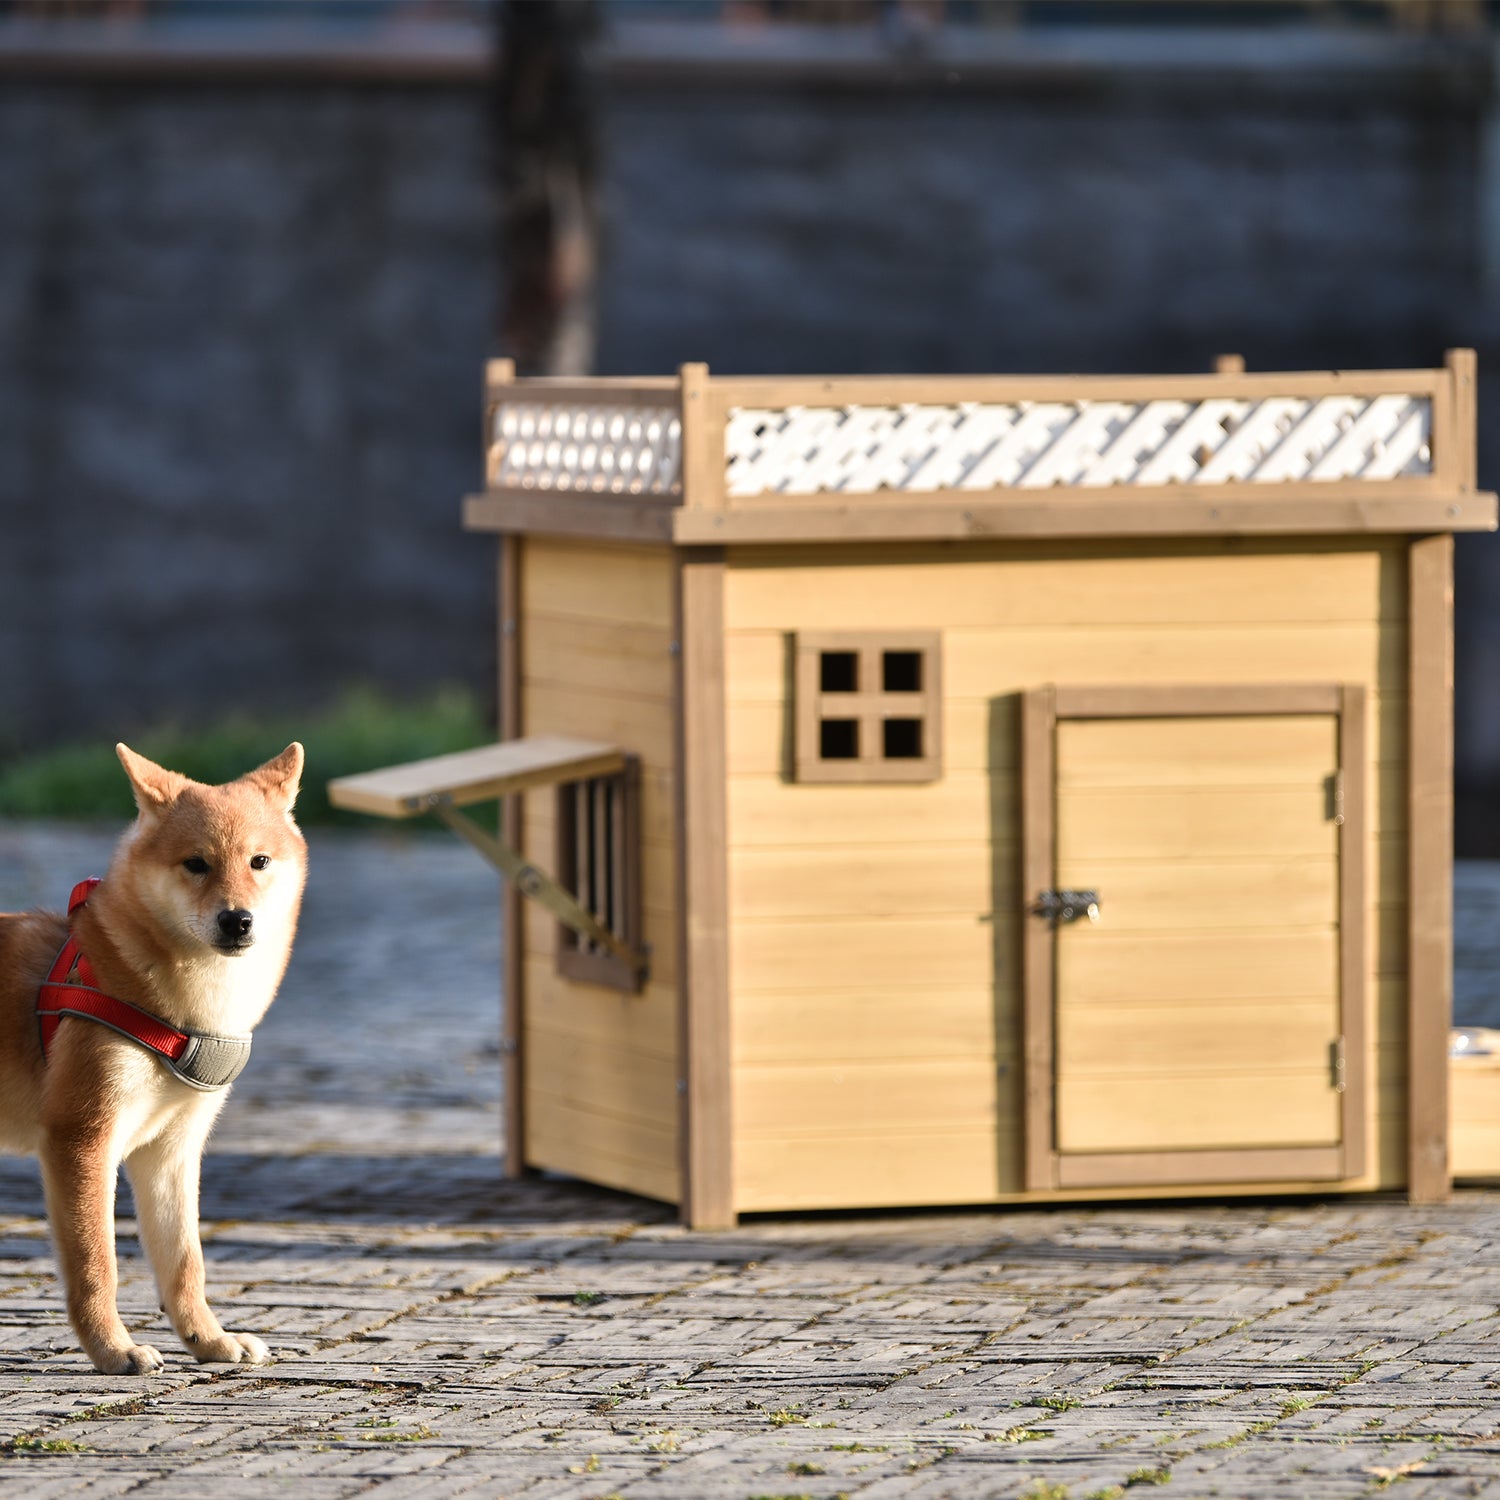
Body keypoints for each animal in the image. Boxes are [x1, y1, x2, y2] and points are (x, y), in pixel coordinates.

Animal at [0, 744, 304, 1374]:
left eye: (259, 861)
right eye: (196, 864)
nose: (238, 919)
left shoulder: (170, 1151)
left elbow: (185, 1264)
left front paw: (208, 1340)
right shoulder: (81, 1139)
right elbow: (98, 1267)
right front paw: (113, 1350)